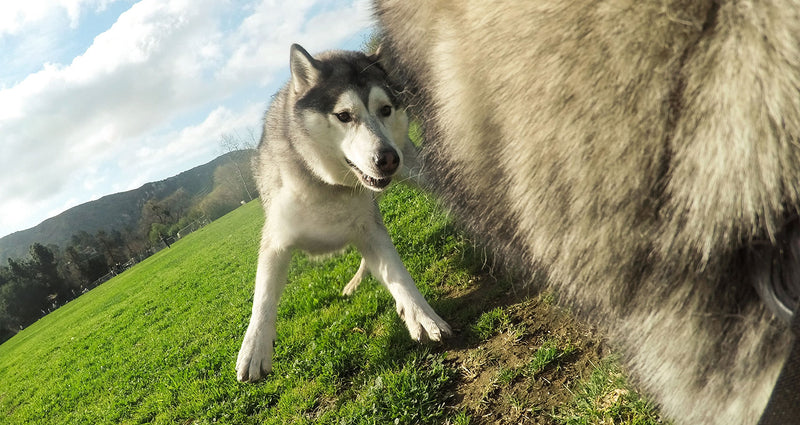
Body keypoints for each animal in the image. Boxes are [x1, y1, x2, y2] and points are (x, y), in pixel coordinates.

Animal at [236, 44, 450, 382]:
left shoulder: (370, 227)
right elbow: (264, 296)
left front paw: (422, 316)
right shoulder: (276, 239)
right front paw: (254, 348)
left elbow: (398, 273)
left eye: (385, 109)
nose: (388, 159)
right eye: (344, 116)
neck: (326, 186)